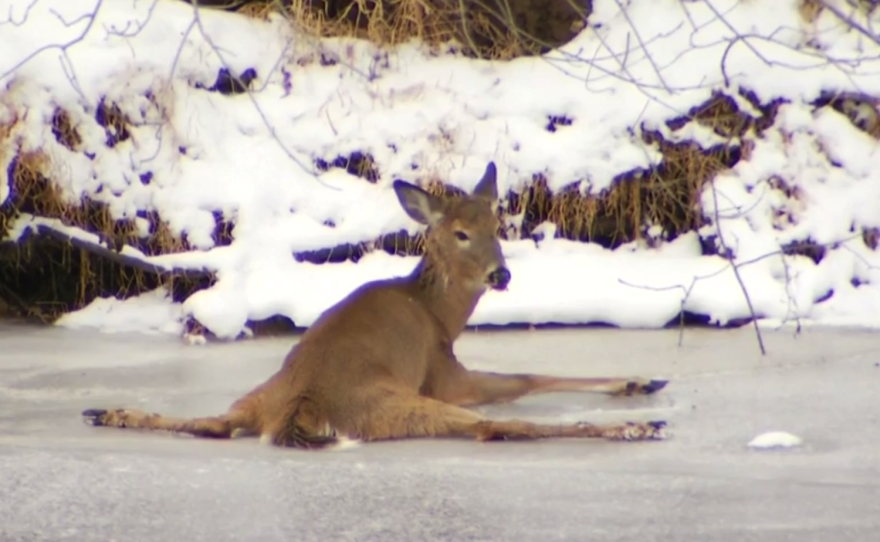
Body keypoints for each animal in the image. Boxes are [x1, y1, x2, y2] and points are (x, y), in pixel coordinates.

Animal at [82, 161, 669, 449]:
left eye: (497, 226)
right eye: (460, 233)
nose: (500, 275)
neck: (438, 314)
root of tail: (300, 409)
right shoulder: (443, 372)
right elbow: (525, 378)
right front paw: (638, 382)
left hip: (259, 393)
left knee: (214, 423)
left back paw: (110, 411)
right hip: (401, 402)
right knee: (495, 427)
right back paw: (637, 428)